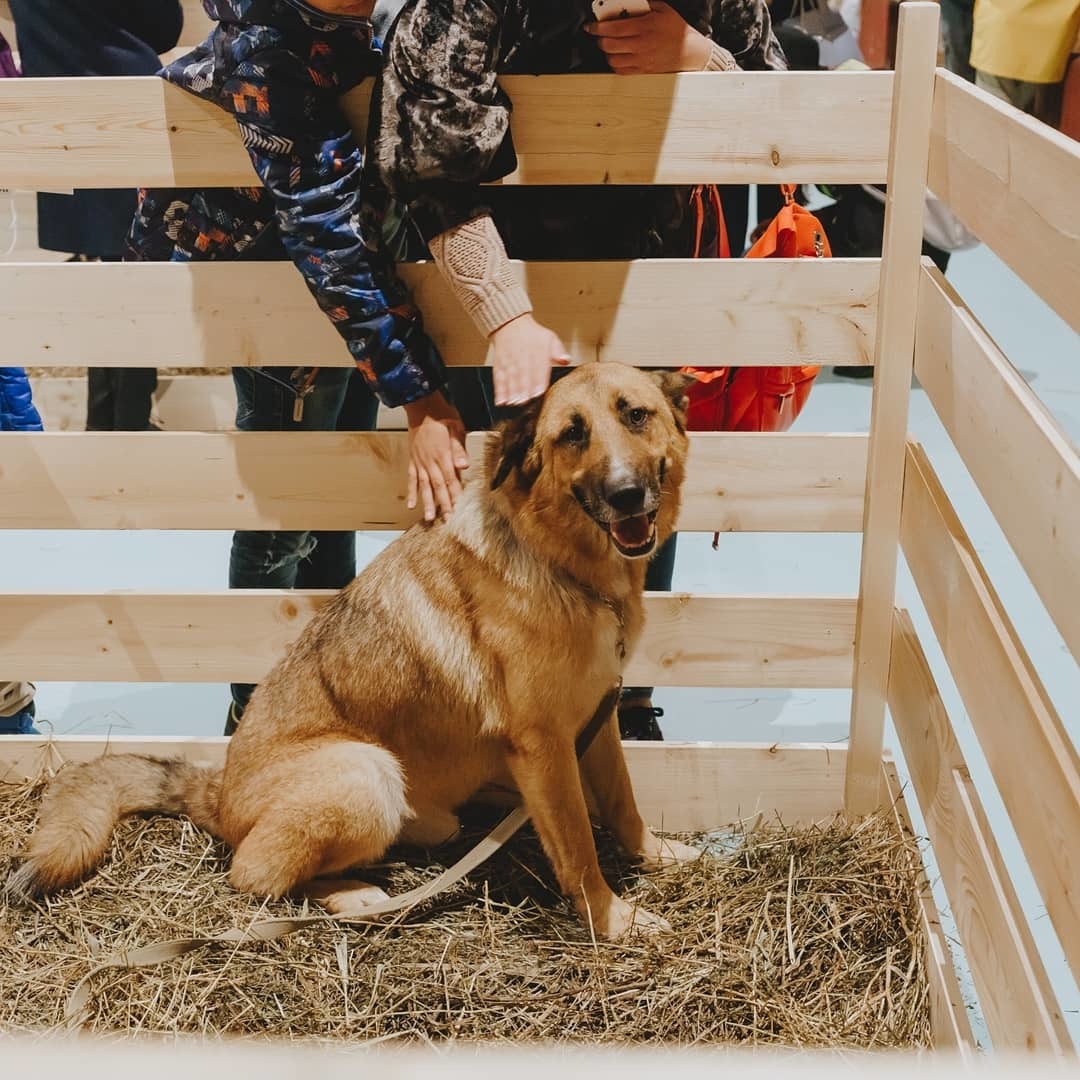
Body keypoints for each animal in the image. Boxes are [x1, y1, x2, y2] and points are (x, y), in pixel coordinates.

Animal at [4, 362, 699, 937]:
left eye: (636, 414)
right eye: (571, 436)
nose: (626, 495)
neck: (565, 565)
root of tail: (217, 792)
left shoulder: (596, 721)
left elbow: (622, 801)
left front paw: (655, 855)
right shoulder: (545, 745)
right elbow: (578, 846)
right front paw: (612, 920)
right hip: (365, 772)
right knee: (252, 875)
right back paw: (354, 896)